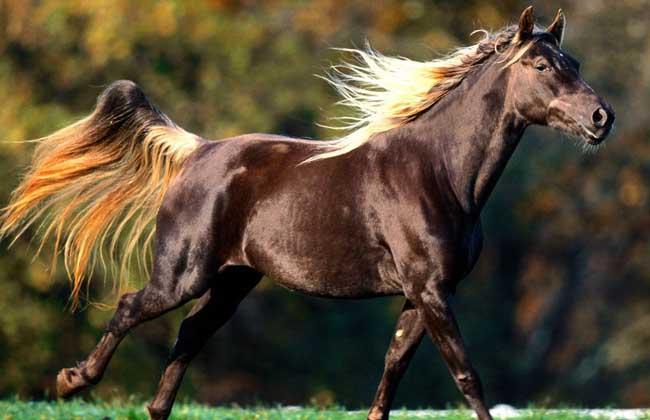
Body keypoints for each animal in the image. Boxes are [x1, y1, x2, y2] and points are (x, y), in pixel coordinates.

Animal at [0, 6, 614, 420]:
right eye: (540, 64)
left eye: (574, 60)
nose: (601, 117)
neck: (439, 171)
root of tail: (197, 150)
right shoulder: (431, 291)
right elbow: (466, 376)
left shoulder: (425, 294)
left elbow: (393, 369)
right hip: (183, 274)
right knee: (132, 307)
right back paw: (73, 382)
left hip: (233, 280)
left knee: (191, 333)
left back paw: (153, 409)